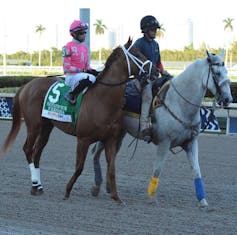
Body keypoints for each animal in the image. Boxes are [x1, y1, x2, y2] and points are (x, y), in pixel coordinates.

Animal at [0, 38, 159, 202]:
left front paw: (117, 197)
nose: (156, 71)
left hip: (46, 127)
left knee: (37, 153)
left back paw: (37, 186)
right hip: (34, 125)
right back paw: (35, 183)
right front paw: (67, 191)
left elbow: (112, 168)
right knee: (28, 149)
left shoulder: (110, 139)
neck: (102, 100)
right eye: (137, 54)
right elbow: (79, 167)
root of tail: (27, 85)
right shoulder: (83, 139)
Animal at [91, 50, 233, 207]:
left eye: (226, 71)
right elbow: (157, 170)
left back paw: (108, 188)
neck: (179, 102)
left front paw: (203, 201)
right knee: (96, 153)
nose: (228, 99)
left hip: (120, 134)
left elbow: (197, 170)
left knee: (110, 156)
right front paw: (152, 197)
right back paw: (97, 186)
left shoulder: (191, 143)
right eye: (217, 73)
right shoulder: (164, 143)